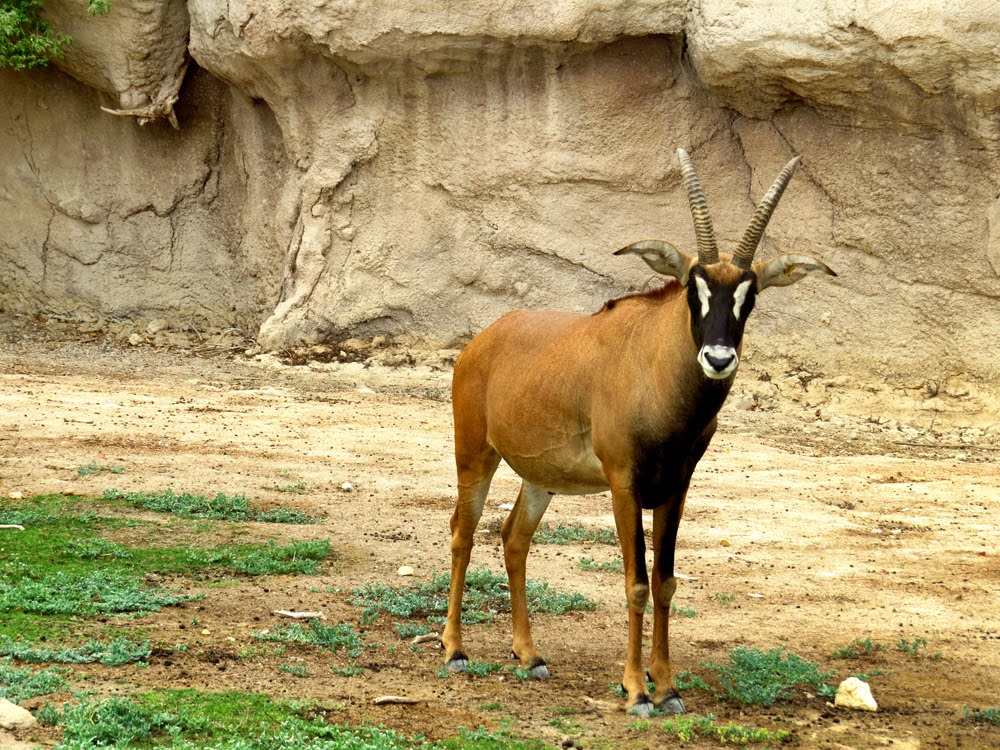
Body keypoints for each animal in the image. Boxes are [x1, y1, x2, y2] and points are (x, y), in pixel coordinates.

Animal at [444, 147, 836, 716]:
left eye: (751, 295)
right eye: (694, 287)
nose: (719, 358)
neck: (654, 371)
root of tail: (484, 340)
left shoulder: (676, 487)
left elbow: (666, 582)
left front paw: (667, 686)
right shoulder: (624, 485)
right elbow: (635, 584)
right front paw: (636, 690)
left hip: (540, 478)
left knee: (514, 538)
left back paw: (529, 655)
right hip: (475, 455)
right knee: (463, 531)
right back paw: (454, 649)